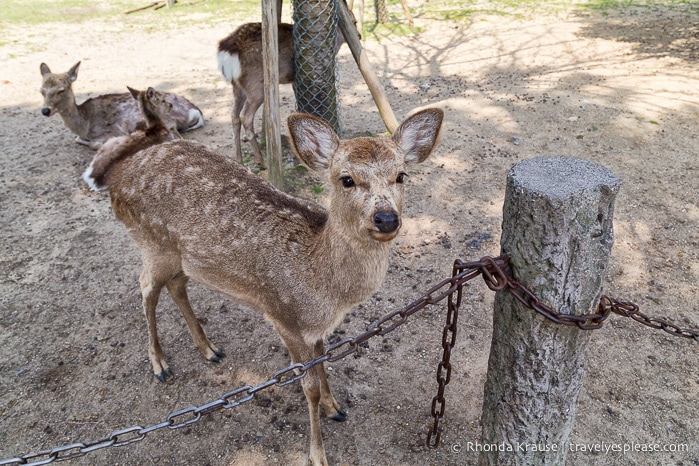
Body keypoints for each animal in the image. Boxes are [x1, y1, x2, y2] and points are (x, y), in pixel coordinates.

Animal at [40, 61, 205, 150]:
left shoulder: (114, 130)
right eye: (41, 90)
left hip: (164, 118)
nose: (45, 110)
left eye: (61, 90)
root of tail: (196, 111)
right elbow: (77, 139)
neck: (85, 124)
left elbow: (94, 144)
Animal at [82, 107, 442, 464]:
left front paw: (334, 408)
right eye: (347, 179)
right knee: (146, 286)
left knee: (176, 285)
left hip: (184, 257)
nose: (386, 218)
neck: (325, 286)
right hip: (151, 242)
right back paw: (159, 363)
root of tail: (117, 181)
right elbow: (308, 387)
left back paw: (209, 349)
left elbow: (323, 364)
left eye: (401, 176)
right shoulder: (285, 318)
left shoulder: (316, 327)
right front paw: (317, 453)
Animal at [216, 19, 356, 171]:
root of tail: (227, 52)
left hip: (237, 87)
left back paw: (239, 161)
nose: (359, 35)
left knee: (234, 116)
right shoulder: (296, 78)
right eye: (354, 22)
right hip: (255, 86)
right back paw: (262, 162)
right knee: (245, 116)